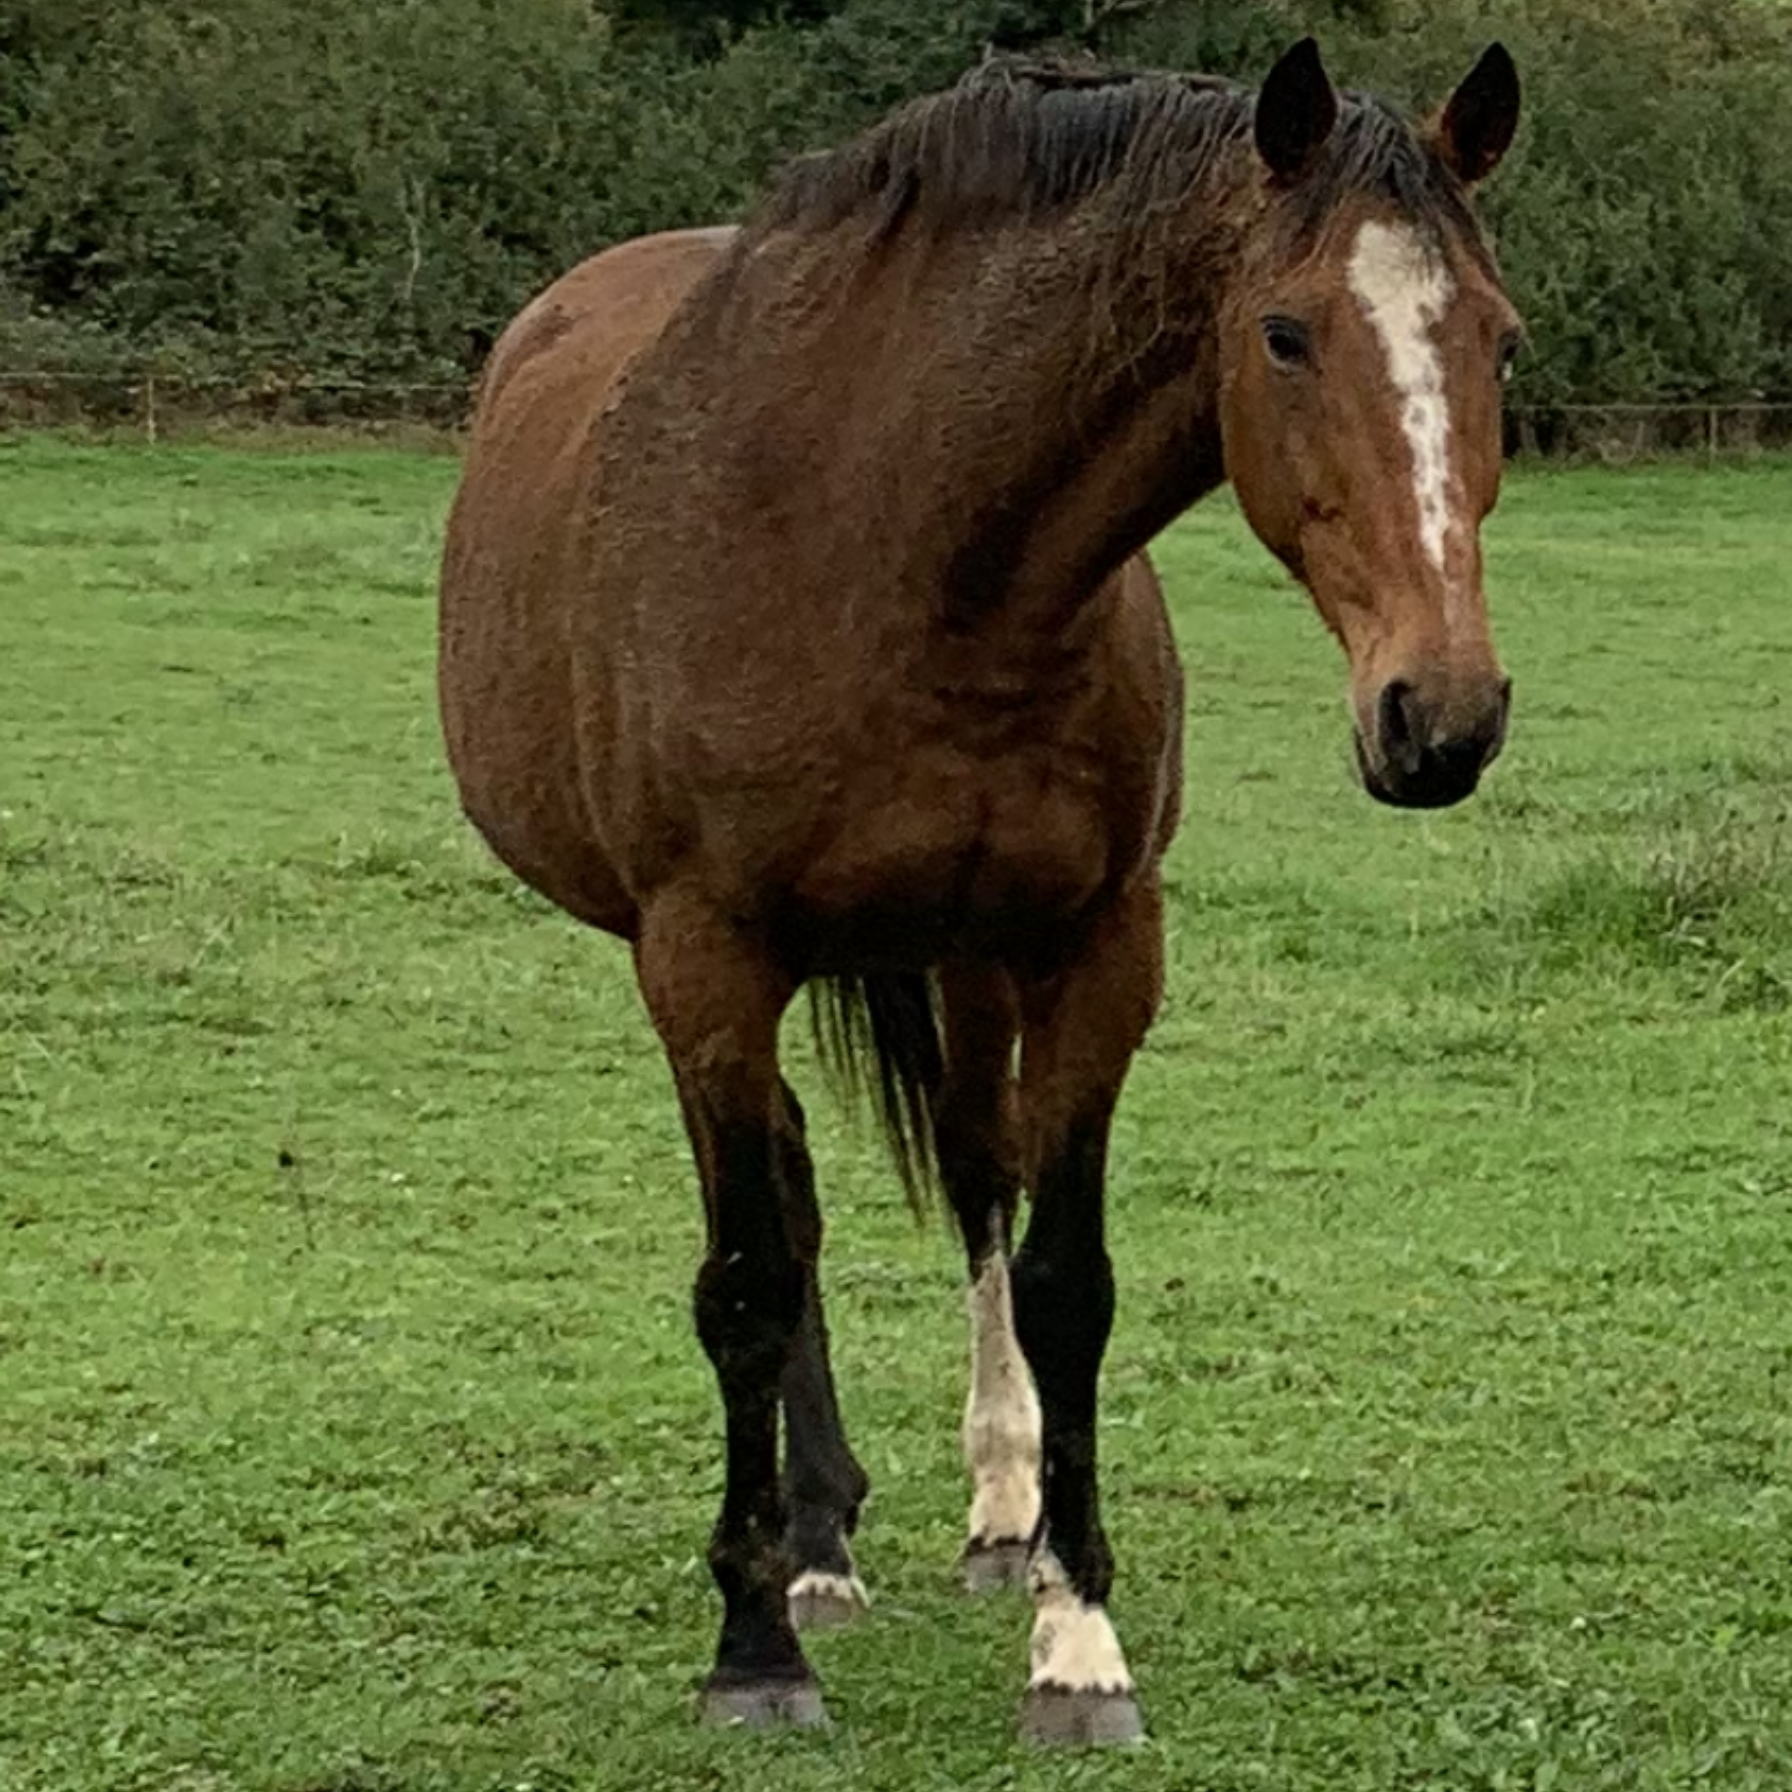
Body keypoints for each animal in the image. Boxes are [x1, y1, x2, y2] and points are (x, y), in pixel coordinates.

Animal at [438, 36, 1522, 1746]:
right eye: (1285, 333)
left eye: (1498, 339)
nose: (1444, 715)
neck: (909, 552)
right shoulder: (707, 951)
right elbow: (747, 1279)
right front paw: (753, 1648)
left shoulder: (1097, 944)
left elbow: (1064, 1276)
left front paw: (1079, 1643)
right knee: (789, 1208)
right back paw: (810, 1547)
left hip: (958, 955)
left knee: (967, 1180)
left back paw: (984, 1518)